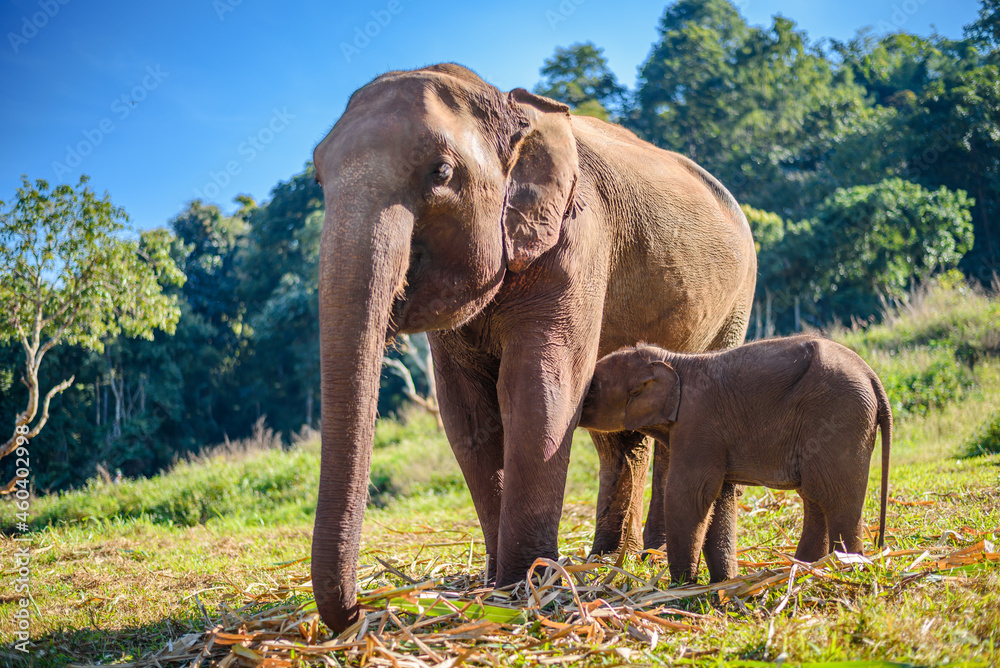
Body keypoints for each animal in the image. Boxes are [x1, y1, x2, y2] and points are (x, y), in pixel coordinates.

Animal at [310, 63, 757, 631]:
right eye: (317, 179)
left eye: (440, 172)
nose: (356, 612)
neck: (504, 102)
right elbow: (467, 415)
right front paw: (499, 585)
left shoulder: (577, 243)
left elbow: (540, 390)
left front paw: (528, 585)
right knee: (619, 435)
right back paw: (610, 558)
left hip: (736, 302)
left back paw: (646, 556)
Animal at [578, 335, 892, 584]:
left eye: (592, 387)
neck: (674, 361)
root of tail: (872, 376)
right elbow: (721, 498)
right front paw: (722, 582)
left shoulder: (698, 424)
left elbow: (690, 495)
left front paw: (681, 586)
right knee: (815, 497)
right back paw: (804, 569)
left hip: (840, 417)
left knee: (837, 498)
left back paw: (846, 569)